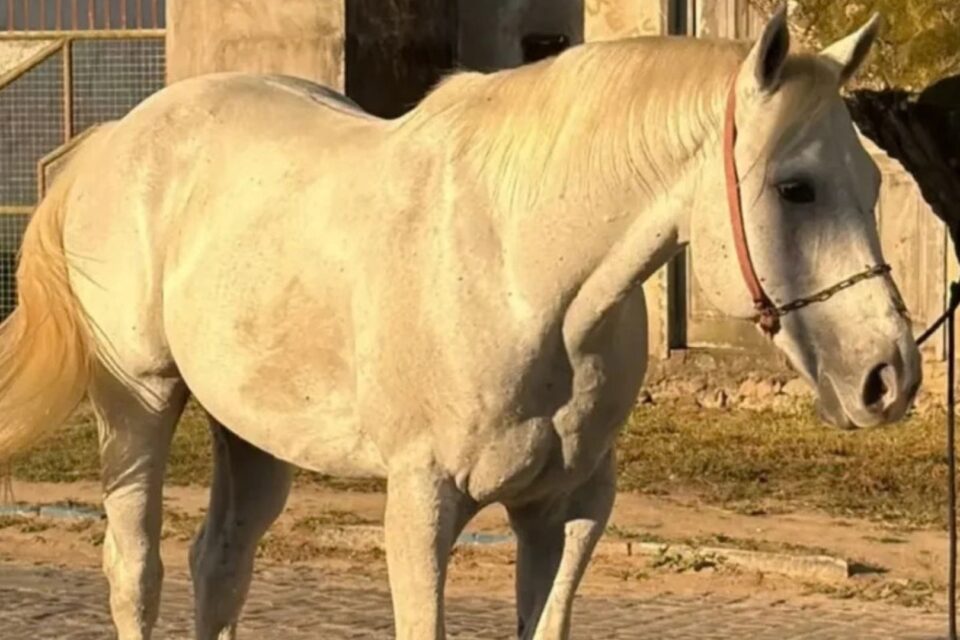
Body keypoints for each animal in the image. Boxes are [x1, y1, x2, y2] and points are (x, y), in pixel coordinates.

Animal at [0, 7, 920, 640]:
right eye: (795, 187)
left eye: (875, 182)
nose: (890, 377)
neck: (523, 272)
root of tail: (113, 139)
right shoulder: (421, 505)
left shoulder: (568, 511)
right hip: (139, 407)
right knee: (137, 570)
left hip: (253, 437)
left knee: (218, 566)